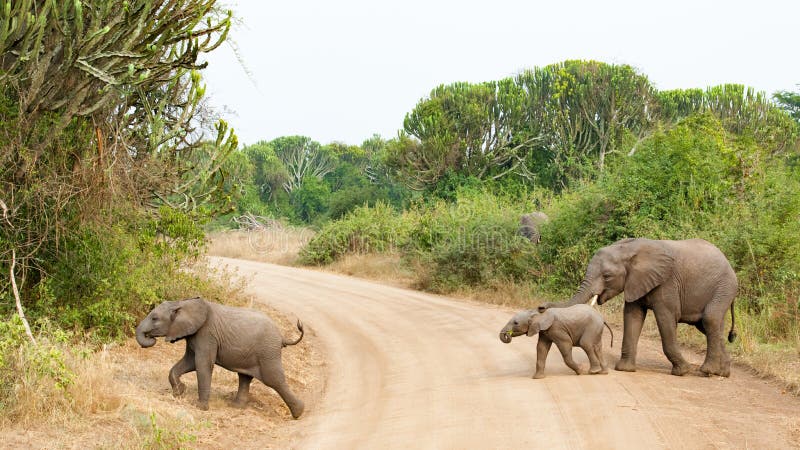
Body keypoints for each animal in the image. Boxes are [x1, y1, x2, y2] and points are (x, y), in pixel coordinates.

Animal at [136, 296, 304, 418]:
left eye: (154, 318)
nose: (150, 338)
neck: (182, 303)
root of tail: (282, 337)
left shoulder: (207, 334)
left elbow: (202, 364)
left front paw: (200, 407)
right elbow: (189, 362)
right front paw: (179, 392)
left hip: (268, 351)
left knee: (273, 379)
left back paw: (299, 413)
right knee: (244, 377)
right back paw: (235, 407)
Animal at [536, 237, 736, 378]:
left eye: (607, 276)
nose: (541, 307)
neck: (630, 249)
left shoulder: (667, 283)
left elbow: (666, 318)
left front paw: (682, 371)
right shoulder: (635, 281)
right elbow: (632, 316)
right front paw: (624, 369)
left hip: (724, 287)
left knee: (710, 319)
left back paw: (707, 371)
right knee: (710, 326)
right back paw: (722, 373)